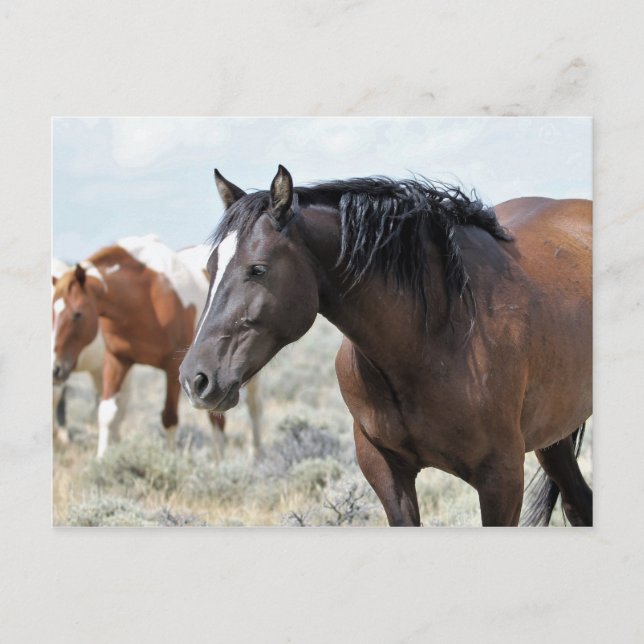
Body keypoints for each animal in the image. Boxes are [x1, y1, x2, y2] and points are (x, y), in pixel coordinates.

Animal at [52, 235, 262, 458]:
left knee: (253, 407)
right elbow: (107, 412)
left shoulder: (173, 369)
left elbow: (169, 419)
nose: (55, 369)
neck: (144, 297)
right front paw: (101, 460)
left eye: (77, 314)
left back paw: (254, 454)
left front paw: (170, 460)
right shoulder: (117, 360)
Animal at [179, 166, 592, 527]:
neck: (436, 339)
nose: (194, 379)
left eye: (258, 269)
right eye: (211, 268)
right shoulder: (384, 470)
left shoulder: (501, 479)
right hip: (553, 438)